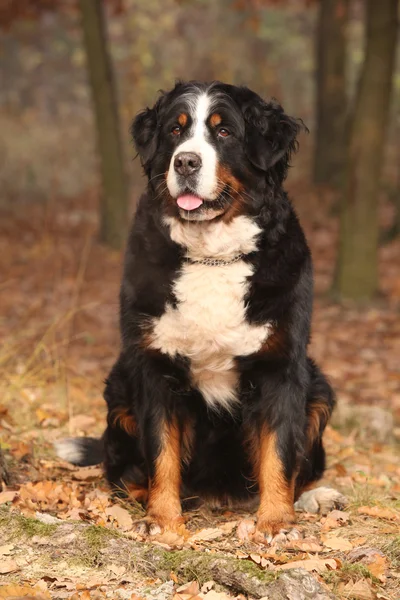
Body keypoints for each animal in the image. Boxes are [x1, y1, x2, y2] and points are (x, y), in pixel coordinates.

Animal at [56, 81, 338, 544]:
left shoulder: (281, 367)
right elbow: (162, 453)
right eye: (176, 129)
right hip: (120, 388)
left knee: (304, 464)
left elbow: (280, 452)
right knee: (123, 472)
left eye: (224, 132)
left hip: (319, 389)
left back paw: (317, 497)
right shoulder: (154, 365)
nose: (185, 161)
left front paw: (276, 522)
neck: (212, 256)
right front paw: (163, 519)